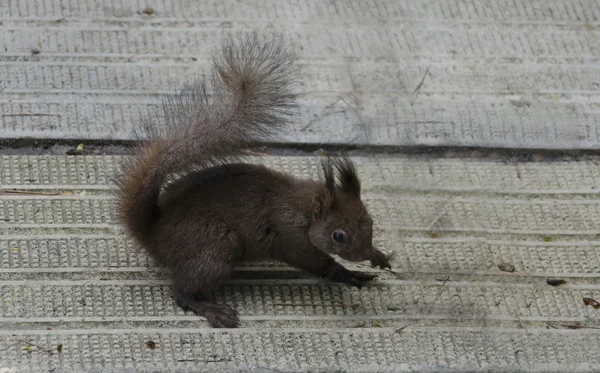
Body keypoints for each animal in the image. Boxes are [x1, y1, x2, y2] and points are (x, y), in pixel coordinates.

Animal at [115, 32, 392, 328]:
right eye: (338, 236)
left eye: (370, 221)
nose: (362, 253)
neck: (307, 208)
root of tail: (152, 234)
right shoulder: (292, 239)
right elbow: (317, 263)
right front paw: (347, 272)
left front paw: (378, 255)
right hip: (216, 248)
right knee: (182, 293)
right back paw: (212, 309)